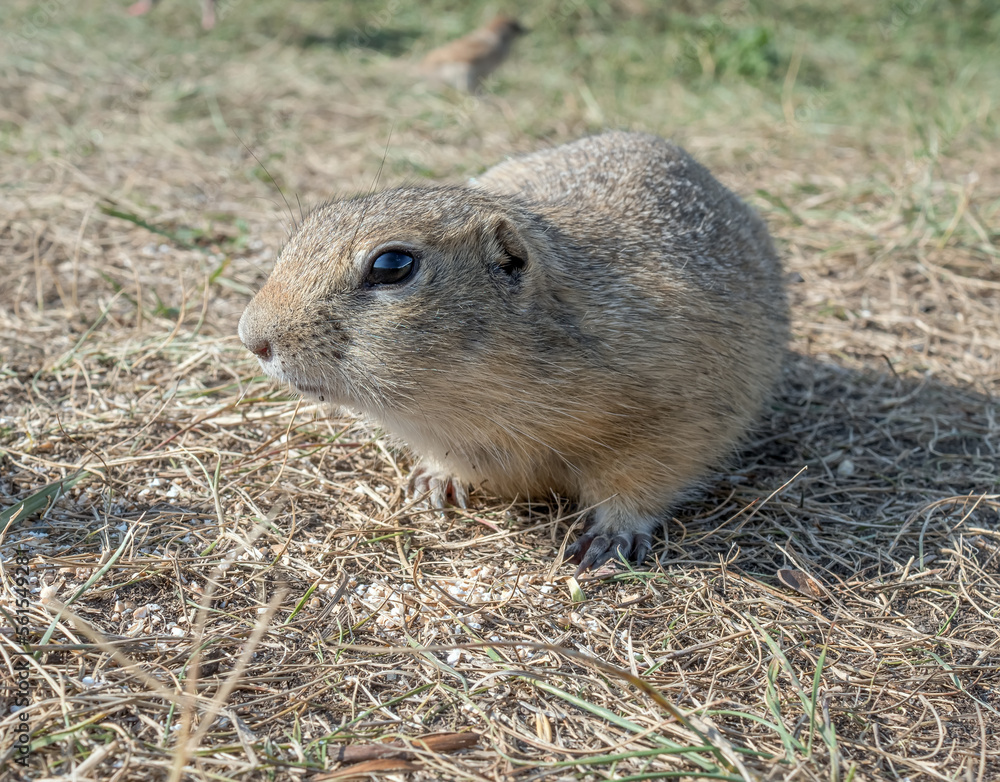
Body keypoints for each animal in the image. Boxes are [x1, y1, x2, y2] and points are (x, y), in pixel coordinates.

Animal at [240, 130, 788, 568]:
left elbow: (645, 482)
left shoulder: (681, 412)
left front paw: (610, 539)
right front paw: (433, 481)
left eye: (392, 265)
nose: (251, 338)